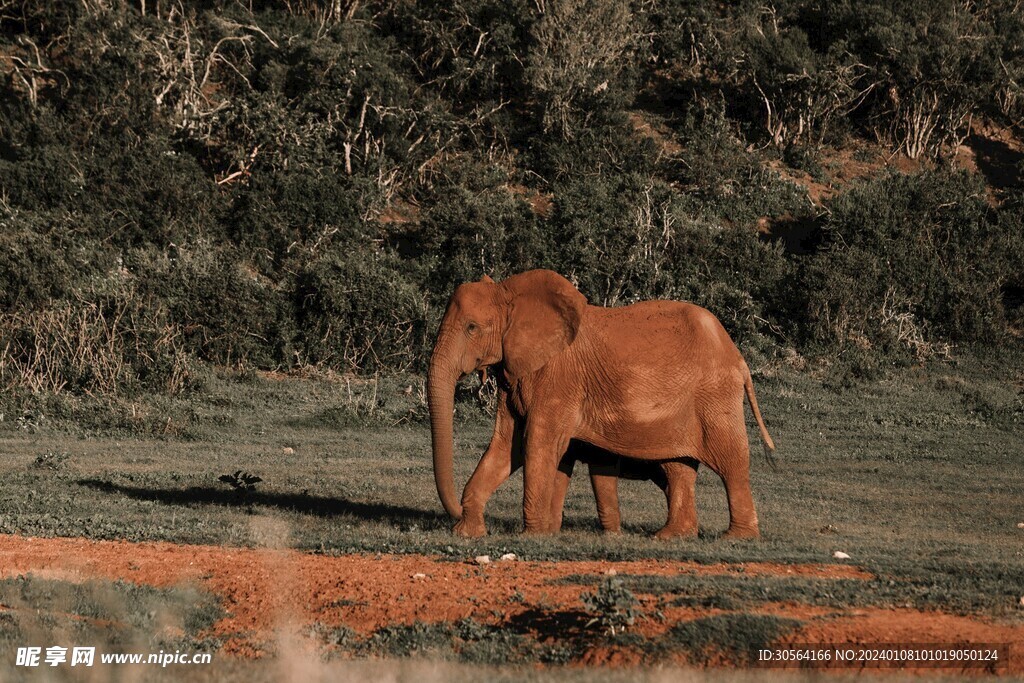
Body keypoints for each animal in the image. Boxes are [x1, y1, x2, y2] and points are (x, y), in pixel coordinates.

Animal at [427, 269, 776, 539]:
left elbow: (536, 442)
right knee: (678, 467)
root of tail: (738, 357)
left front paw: (533, 535)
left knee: (731, 460)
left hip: (715, 394)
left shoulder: (558, 377)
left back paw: (737, 538)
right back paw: (670, 536)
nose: (454, 512)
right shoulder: (516, 373)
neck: (510, 292)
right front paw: (468, 533)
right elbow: (506, 445)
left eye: (471, 327)